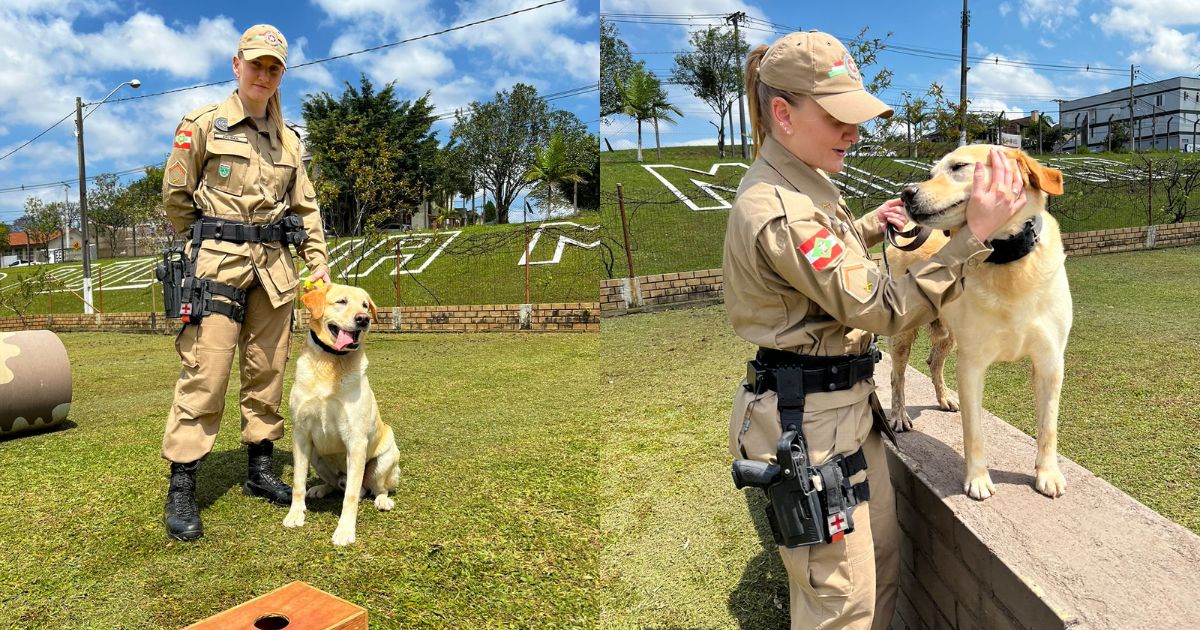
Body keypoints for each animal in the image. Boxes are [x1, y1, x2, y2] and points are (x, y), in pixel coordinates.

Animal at [284, 280, 403, 544]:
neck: (331, 363)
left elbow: (350, 497)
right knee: (337, 485)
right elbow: (297, 482)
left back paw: (382, 500)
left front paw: (345, 530)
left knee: (374, 488)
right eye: (341, 301)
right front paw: (295, 514)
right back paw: (320, 488)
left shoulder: (356, 441)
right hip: (317, 458)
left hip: (385, 459)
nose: (363, 319)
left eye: (365, 305)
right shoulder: (301, 435)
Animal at [888, 143, 1075, 501]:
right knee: (896, 377)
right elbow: (974, 431)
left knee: (934, 361)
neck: (1008, 261)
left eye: (958, 167)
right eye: (931, 173)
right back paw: (899, 415)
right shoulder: (972, 364)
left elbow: (1049, 427)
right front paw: (977, 479)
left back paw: (944, 398)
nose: (906, 193)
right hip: (903, 334)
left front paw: (1048, 474)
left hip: (947, 334)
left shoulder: (1050, 362)